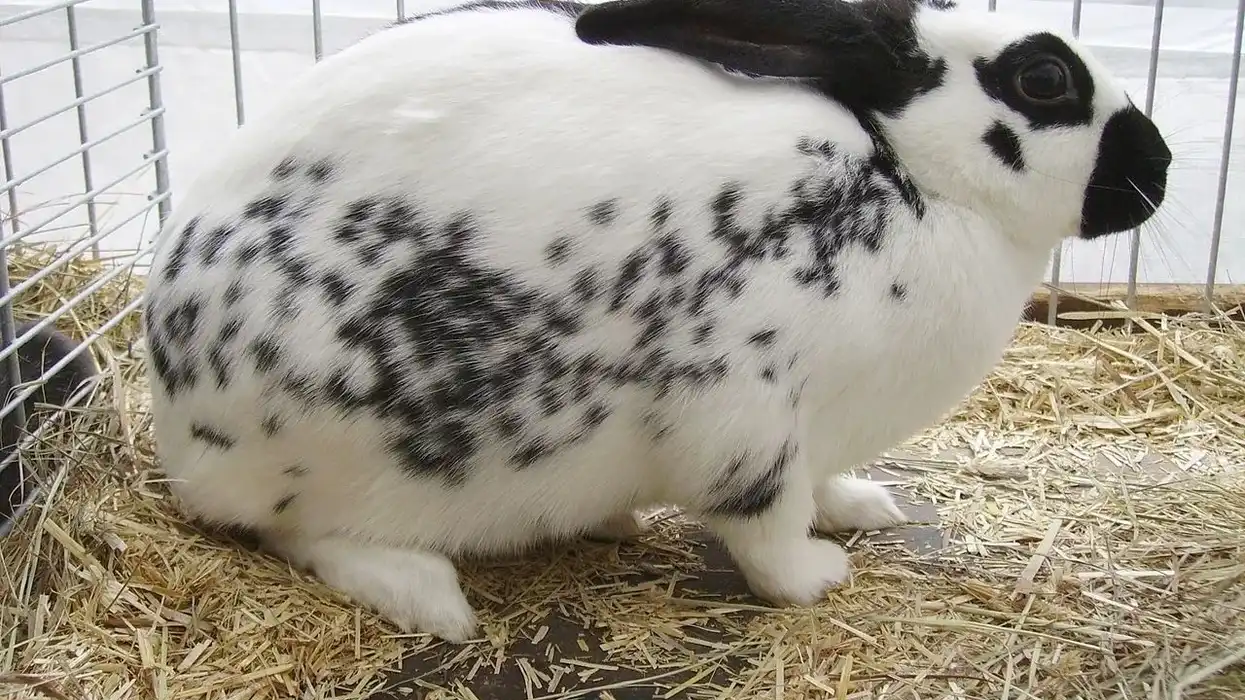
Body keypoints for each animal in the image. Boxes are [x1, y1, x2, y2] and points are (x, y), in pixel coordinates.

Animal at [140, 0, 1171, 643]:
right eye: (1043, 80)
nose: (1157, 171)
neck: (914, 179)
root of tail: (178, 432)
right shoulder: (747, 415)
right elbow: (764, 528)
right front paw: (817, 577)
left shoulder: (817, 432)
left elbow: (823, 485)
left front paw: (862, 508)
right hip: (341, 451)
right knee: (309, 534)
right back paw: (431, 598)